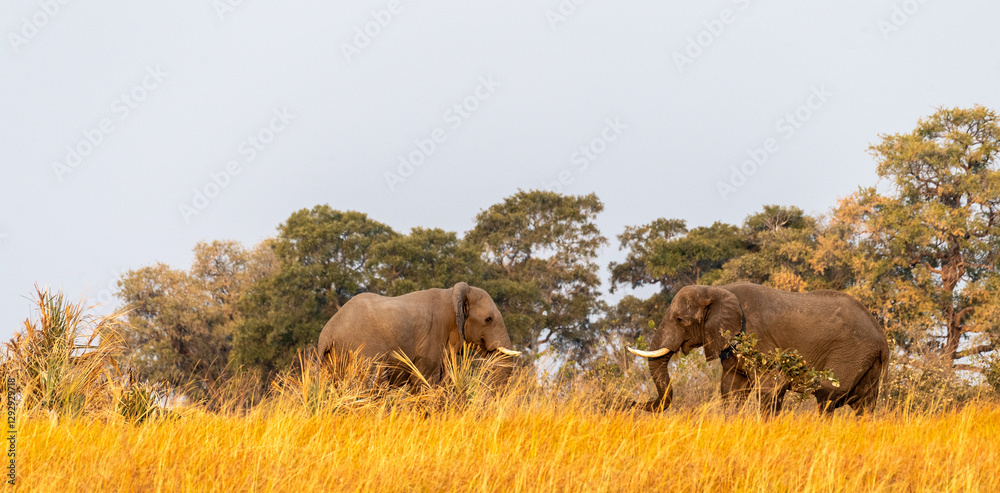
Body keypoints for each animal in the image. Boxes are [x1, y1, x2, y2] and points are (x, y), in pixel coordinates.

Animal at [317, 282, 520, 387]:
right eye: (488, 319)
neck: (453, 294)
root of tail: (327, 333)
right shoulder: (432, 337)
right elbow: (425, 380)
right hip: (362, 350)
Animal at [627, 282, 888, 415]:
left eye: (680, 320)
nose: (630, 403)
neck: (718, 290)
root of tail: (882, 338)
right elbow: (731, 390)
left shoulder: (757, 340)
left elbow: (771, 387)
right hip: (868, 361)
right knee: (864, 404)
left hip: (851, 352)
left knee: (828, 396)